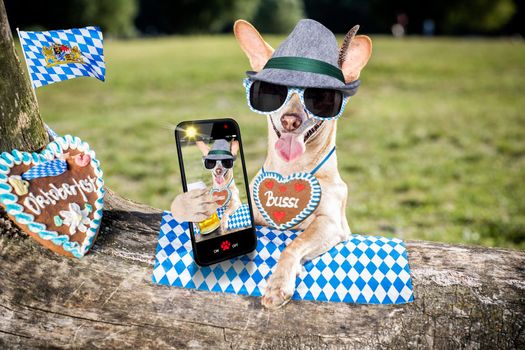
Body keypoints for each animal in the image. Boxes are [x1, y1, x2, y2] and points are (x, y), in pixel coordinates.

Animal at [170, 19, 370, 308]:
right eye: (272, 92)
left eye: (321, 97)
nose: (290, 120)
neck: (289, 171)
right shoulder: (252, 212)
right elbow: (233, 214)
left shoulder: (330, 224)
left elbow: (293, 244)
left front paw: (278, 284)